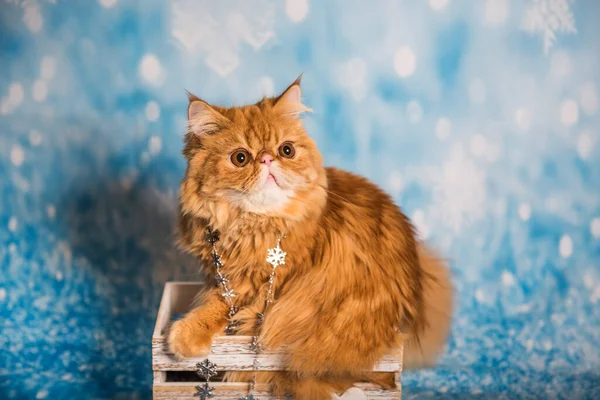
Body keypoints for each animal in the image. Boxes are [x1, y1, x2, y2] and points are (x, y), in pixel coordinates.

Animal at [166, 76, 452, 398]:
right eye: (240, 158)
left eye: (286, 150)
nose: (267, 159)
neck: (253, 224)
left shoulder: (258, 285)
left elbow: (218, 304)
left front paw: (185, 334)